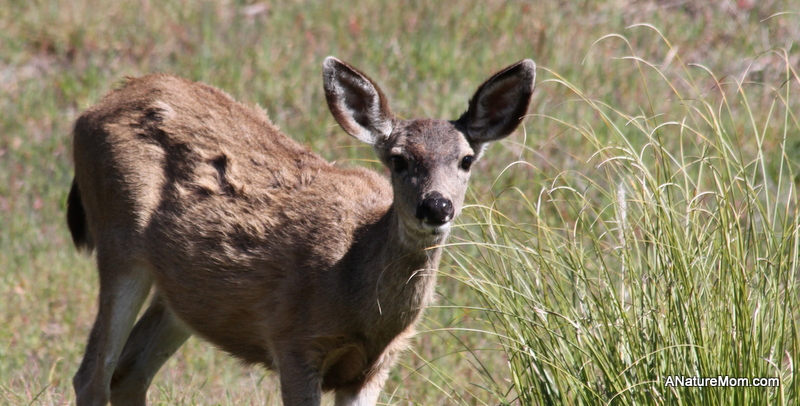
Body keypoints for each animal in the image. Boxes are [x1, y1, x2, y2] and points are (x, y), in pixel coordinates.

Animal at [66, 56, 535, 406]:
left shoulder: (375, 366)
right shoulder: (293, 341)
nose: (436, 206)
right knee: (92, 374)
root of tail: (93, 110)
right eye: (399, 159)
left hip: (182, 293)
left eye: (466, 159)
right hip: (119, 241)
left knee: (129, 371)